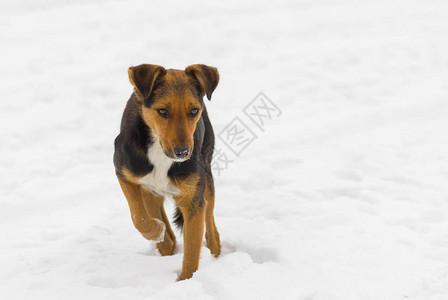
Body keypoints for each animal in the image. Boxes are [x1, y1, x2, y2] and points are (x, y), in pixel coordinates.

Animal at [114, 63, 220, 282]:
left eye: (194, 110)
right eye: (162, 111)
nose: (183, 152)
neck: (159, 151)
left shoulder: (192, 202)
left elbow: (192, 251)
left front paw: (186, 282)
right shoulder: (124, 172)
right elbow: (138, 215)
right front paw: (156, 232)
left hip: (205, 175)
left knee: (210, 220)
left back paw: (215, 251)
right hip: (150, 190)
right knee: (161, 223)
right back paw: (164, 240)